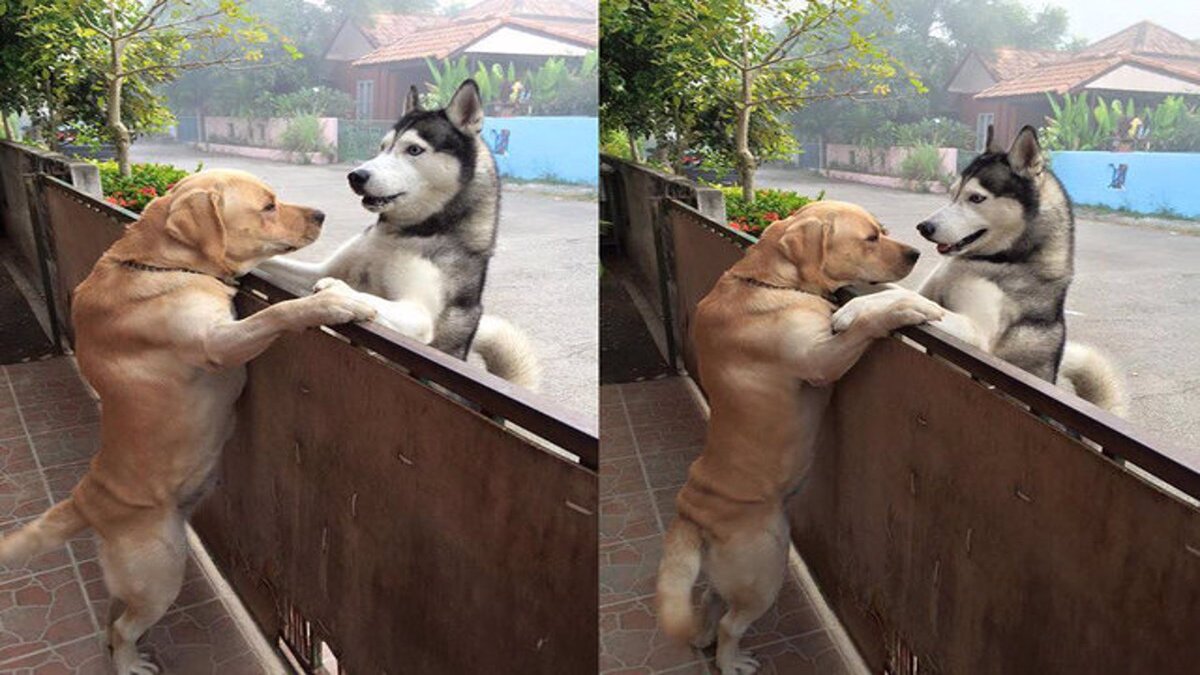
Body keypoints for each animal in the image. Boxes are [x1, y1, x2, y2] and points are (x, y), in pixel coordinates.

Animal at [0, 168, 374, 672]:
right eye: (268, 206)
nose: (321, 215)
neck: (161, 264)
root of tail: (86, 500)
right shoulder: (217, 343)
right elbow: (279, 312)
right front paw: (335, 305)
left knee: (111, 620)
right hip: (161, 571)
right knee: (122, 627)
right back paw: (129, 663)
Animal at [657, 198, 945, 667]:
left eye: (882, 230)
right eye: (870, 238)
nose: (916, 253)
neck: (773, 281)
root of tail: (691, 512)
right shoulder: (820, 360)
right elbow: (864, 323)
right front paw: (904, 310)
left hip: (734, 575)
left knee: (711, 600)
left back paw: (703, 638)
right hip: (766, 568)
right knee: (730, 622)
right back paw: (731, 661)